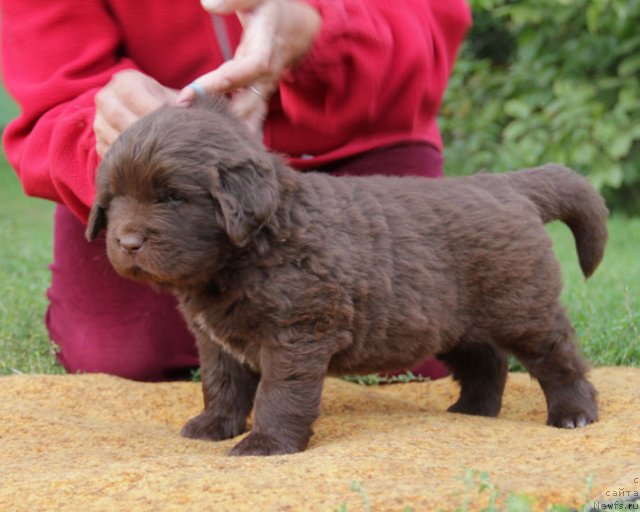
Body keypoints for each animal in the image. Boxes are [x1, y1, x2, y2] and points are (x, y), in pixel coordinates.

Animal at [87, 97, 608, 456]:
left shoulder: (298, 332)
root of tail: (504, 183)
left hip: (523, 307)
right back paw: (472, 412)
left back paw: (574, 414)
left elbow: (280, 392)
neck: (251, 250)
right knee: (487, 361)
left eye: (172, 197)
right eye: (112, 199)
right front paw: (214, 426)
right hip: (450, 317)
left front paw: (266, 445)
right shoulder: (218, 342)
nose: (127, 242)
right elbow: (221, 384)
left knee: (558, 356)